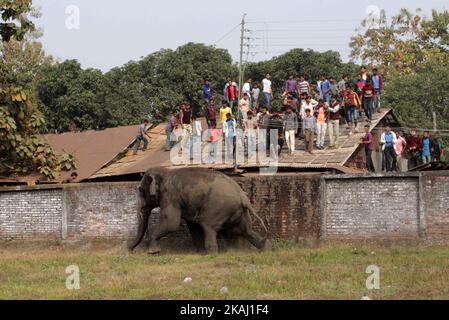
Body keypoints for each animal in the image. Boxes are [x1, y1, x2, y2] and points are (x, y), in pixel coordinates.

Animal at [130, 166, 270, 254]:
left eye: (141, 190)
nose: (130, 251)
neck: (165, 172)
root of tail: (243, 197)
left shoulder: (170, 196)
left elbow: (171, 223)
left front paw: (153, 252)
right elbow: (192, 226)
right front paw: (199, 252)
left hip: (218, 209)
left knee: (209, 227)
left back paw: (212, 253)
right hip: (239, 213)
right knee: (244, 230)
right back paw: (263, 248)